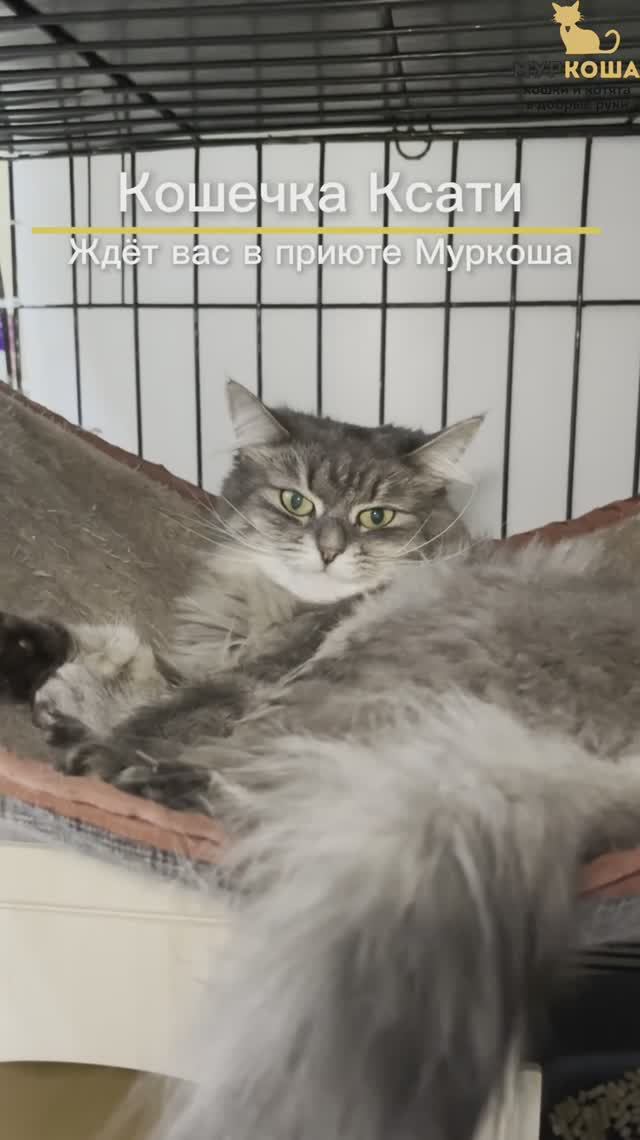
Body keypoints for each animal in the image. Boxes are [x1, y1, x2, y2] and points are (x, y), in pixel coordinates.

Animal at [4, 381, 640, 1140]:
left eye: (377, 516)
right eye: (295, 502)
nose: (329, 552)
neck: (273, 609)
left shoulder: (244, 683)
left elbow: (155, 708)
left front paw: (78, 717)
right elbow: (119, 654)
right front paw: (40, 668)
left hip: (370, 673)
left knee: (265, 785)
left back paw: (122, 773)